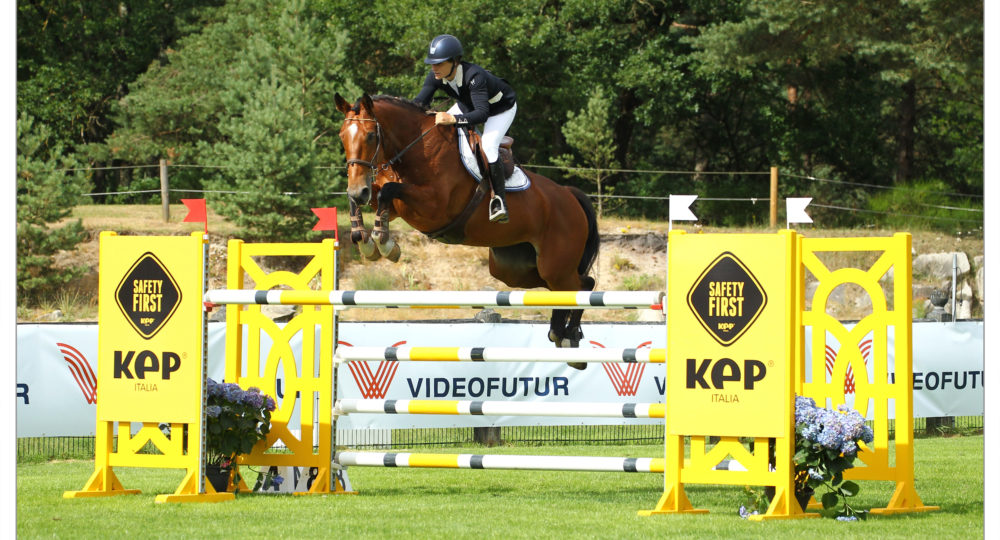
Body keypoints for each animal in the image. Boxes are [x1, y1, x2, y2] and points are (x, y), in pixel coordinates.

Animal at [336, 92, 600, 368]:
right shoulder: (394, 204)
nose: (359, 189)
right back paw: (561, 335)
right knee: (565, 289)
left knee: (582, 285)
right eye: (342, 136)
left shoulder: (433, 206)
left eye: (370, 136)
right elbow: (368, 199)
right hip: (515, 269)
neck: (415, 148)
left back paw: (569, 338)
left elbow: (388, 191)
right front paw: (366, 241)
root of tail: (570, 196)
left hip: (555, 264)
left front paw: (385, 244)